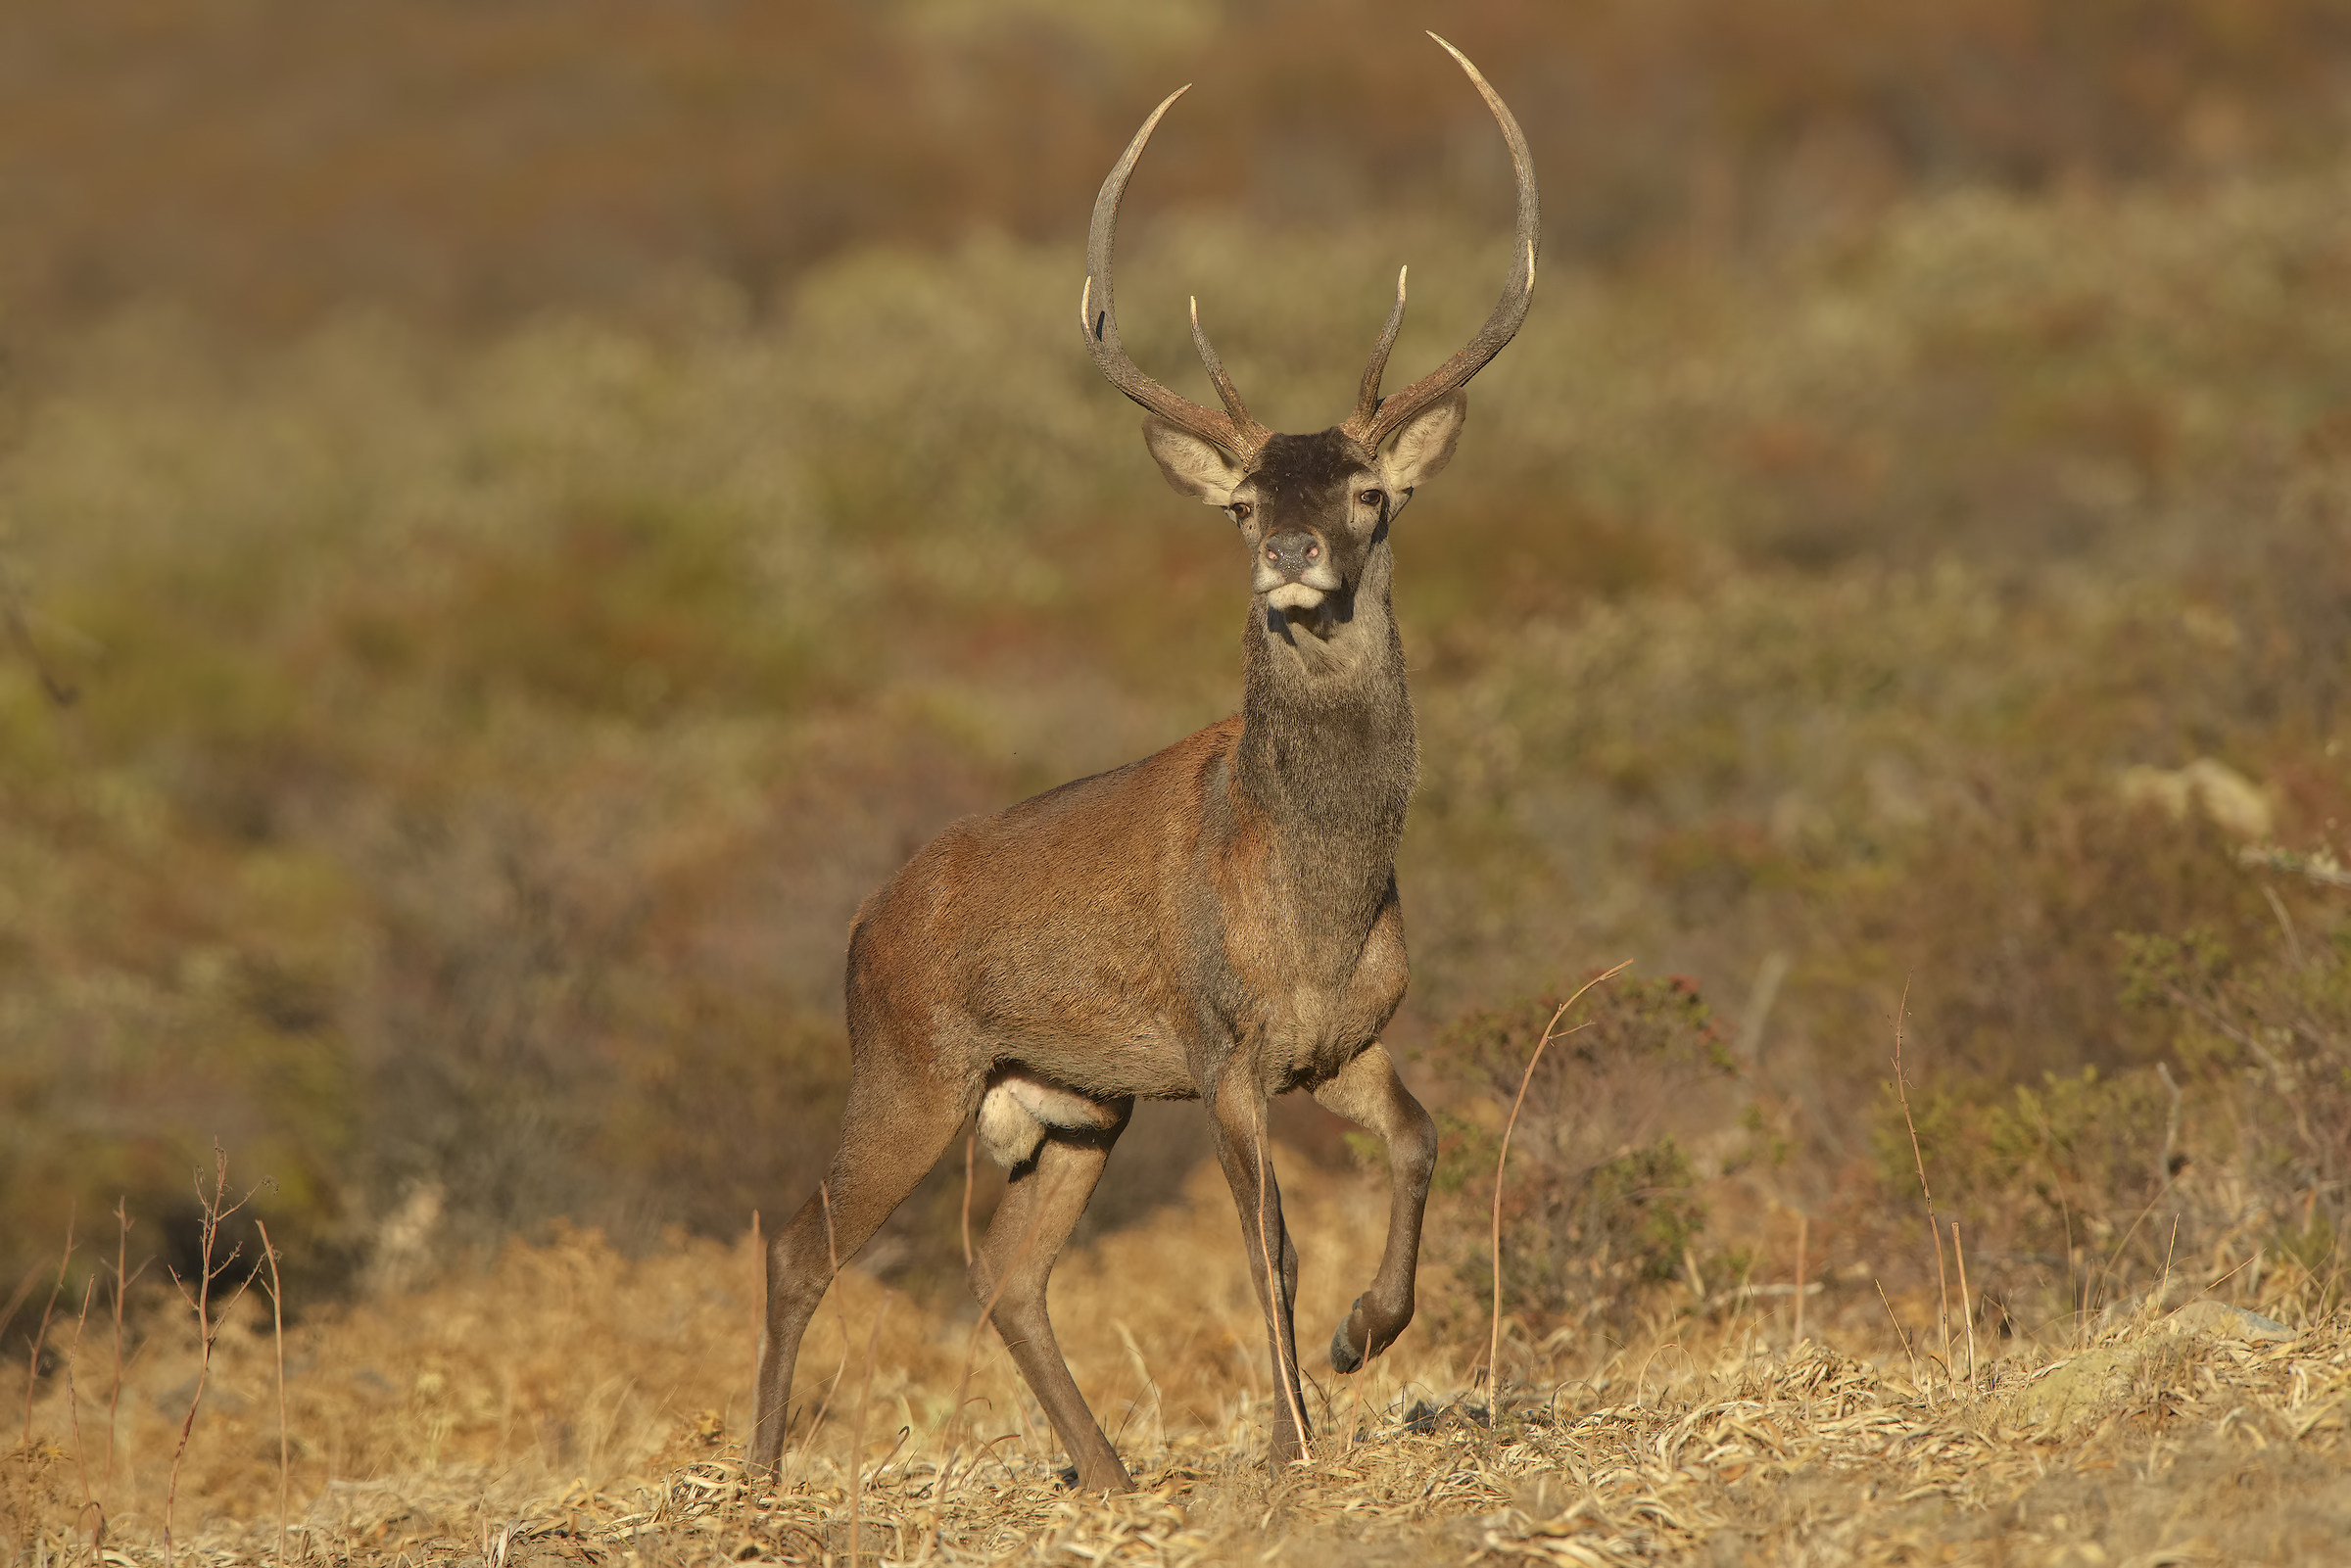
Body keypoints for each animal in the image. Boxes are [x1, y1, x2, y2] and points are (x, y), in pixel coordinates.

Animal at [747, 34, 1537, 1494]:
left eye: (1369, 492)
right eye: (1243, 501)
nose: (1287, 552)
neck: (1317, 897)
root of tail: (860, 923)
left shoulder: (1338, 1041)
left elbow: (1421, 1138)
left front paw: (1364, 1336)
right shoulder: (1222, 1045)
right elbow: (1265, 1245)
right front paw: (1293, 1441)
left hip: (1069, 1103)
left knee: (1005, 1271)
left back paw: (1109, 1476)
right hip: (911, 1067)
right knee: (802, 1238)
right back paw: (761, 1476)